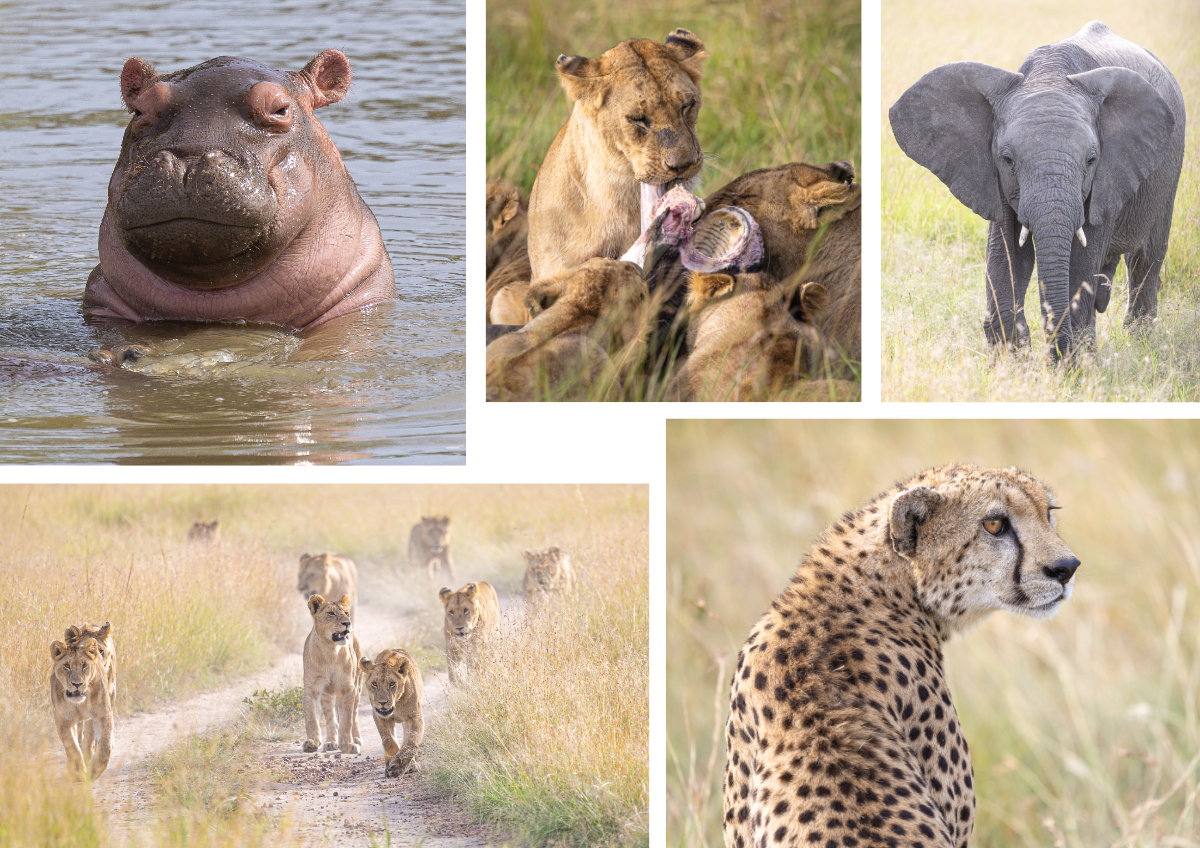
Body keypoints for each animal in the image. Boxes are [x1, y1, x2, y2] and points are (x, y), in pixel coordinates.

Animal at [892, 19, 1180, 357]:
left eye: (1091, 160)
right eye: (1007, 159)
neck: (1049, 76)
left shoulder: (1106, 179)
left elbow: (1081, 264)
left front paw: (1073, 365)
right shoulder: (994, 180)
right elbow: (1005, 254)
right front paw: (1013, 362)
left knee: (1146, 260)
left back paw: (1141, 344)